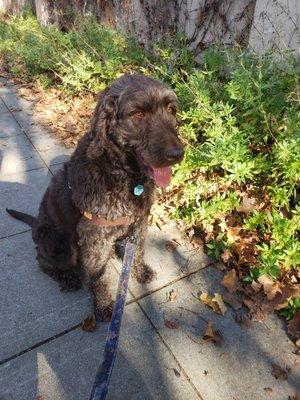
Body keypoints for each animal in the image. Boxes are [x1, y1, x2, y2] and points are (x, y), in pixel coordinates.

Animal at [7, 72, 184, 322]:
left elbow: (138, 251)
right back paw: (67, 277)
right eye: (138, 114)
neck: (123, 174)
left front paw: (139, 271)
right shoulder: (94, 237)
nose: (177, 154)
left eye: (171, 109)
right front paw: (102, 306)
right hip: (60, 245)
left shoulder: (139, 222)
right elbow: (98, 276)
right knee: (43, 261)